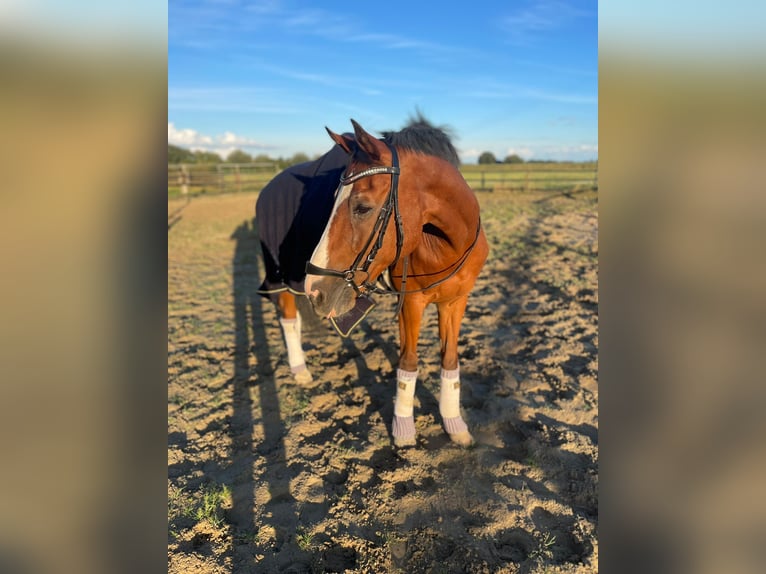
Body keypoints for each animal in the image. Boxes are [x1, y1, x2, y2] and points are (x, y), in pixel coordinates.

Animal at [304, 119, 488, 448]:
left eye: (362, 207)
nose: (314, 290)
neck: (447, 246)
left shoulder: (456, 301)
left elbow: (450, 360)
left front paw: (455, 425)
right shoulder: (411, 303)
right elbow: (409, 362)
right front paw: (403, 431)